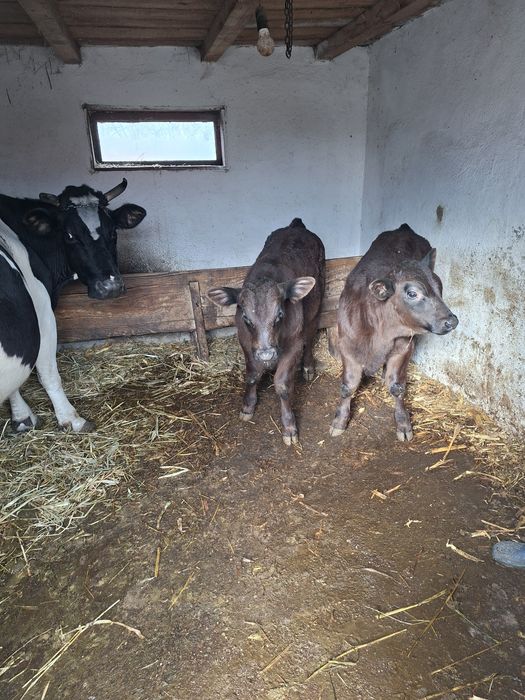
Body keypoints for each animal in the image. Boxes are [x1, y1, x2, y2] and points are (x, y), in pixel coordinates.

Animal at [0, 179, 146, 432]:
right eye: (69, 235)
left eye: (113, 232)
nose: (110, 286)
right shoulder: (41, 308)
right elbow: (47, 371)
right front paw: (72, 419)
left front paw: (22, 418)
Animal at [208, 218, 325, 445]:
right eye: (246, 318)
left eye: (280, 314)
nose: (266, 355)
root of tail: (296, 226)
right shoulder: (246, 342)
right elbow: (252, 375)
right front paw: (248, 406)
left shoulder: (293, 345)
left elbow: (282, 384)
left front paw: (289, 426)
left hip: (316, 303)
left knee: (310, 331)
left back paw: (307, 367)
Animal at [330, 223, 458, 442]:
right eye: (412, 293)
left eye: (440, 289)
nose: (452, 321)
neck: (380, 334)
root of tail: (404, 228)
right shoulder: (347, 345)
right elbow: (348, 386)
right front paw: (340, 420)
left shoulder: (404, 346)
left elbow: (397, 387)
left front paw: (403, 423)